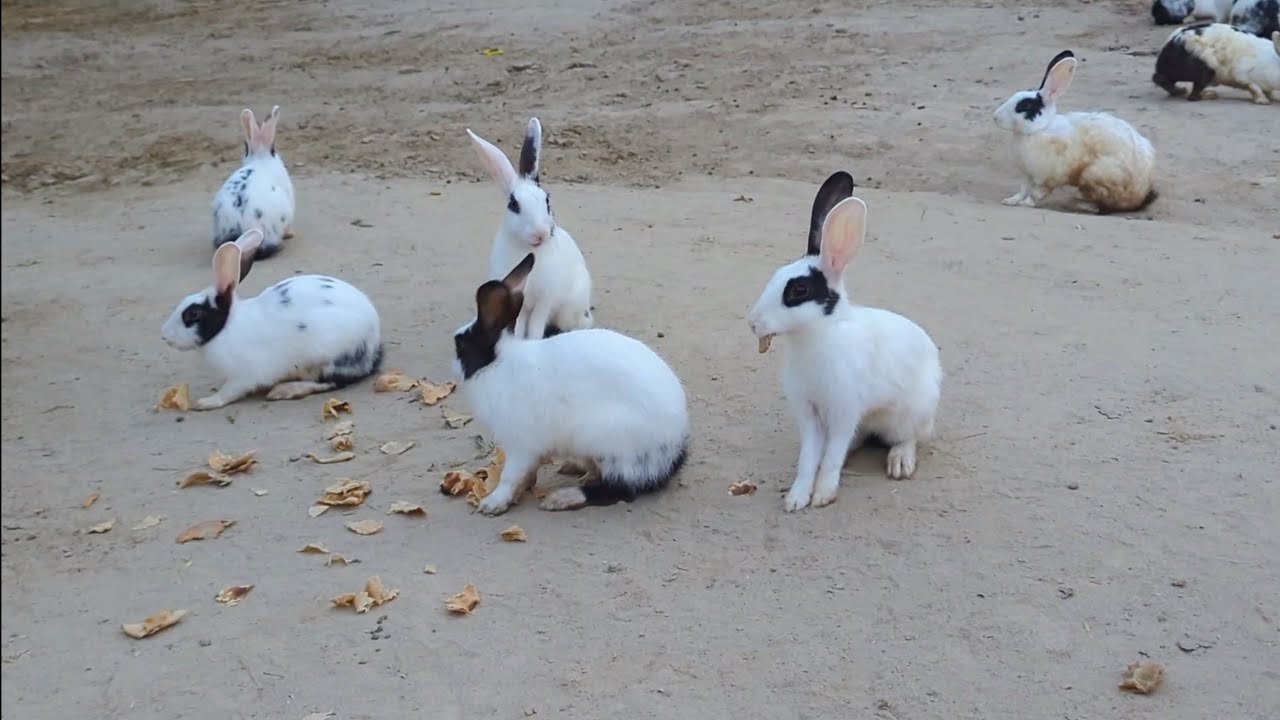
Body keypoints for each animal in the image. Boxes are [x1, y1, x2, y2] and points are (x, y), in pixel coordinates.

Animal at [161, 229, 383, 411]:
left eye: (193, 314)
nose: (164, 336)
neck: (226, 328)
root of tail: (374, 348)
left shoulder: (244, 375)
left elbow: (229, 391)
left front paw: (205, 402)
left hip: (325, 357)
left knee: (332, 382)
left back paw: (284, 390)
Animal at [451, 253, 689, 517]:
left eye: (459, 344)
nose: (453, 366)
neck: (498, 363)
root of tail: (674, 446)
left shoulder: (521, 443)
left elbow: (510, 476)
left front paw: (493, 503)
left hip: (606, 439)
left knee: (621, 490)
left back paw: (561, 498)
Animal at [465, 117, 594, 340]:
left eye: (547, 200)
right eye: (514, 205)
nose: (541, 233)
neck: (529, 250)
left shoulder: (545, 300)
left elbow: (535, 326)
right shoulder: (522, 302)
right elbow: (518, 326)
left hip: (570, 308)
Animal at [746, 172, 942, 513]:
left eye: (798, 290)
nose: (753, 322)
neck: (817, 334)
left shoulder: (844, 410)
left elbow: (831, 458)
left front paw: (823, 494)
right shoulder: (809, 414)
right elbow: (809, 458)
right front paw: (796, 498)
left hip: (910, 413)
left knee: (909, 437)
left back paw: (899, 462)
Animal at [993, 50, 1159, 214]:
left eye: (1025, 106)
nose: (995, 117)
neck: (1039, 129)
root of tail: (1142, 192)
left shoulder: (1048, 178)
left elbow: (1036, 193)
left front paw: (1026, 203)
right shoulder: (1028, 176)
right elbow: (1023, 190)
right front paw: (1010, 200)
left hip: (1095, 176)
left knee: (1104, 207)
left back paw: (1079, 204)